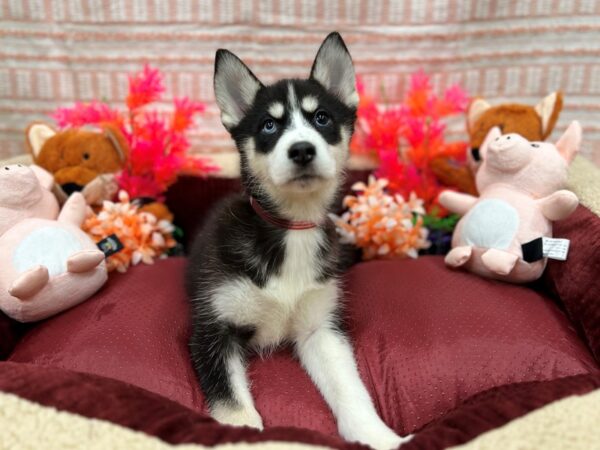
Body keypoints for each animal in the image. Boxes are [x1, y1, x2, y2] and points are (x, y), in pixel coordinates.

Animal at [184, 32, 408, 450]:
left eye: (322, 118)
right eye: (269, 126)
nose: (302, 149)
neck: (292, 229)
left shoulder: (320, 328)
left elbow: (352, 390)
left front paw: (380, 437)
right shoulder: (213, 331)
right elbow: (231, 403)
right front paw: (242, 433)